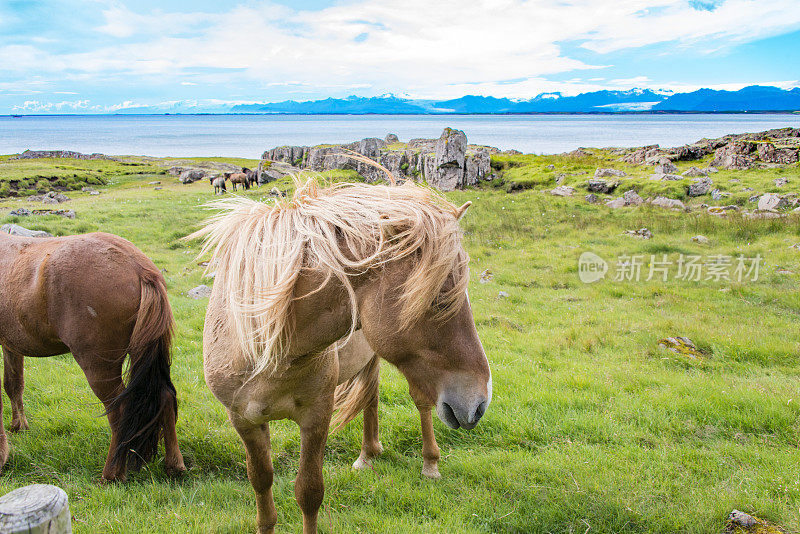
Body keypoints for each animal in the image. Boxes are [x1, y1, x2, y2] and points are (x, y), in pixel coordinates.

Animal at [0, 232, 186, 484]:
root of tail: (138, 267)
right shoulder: (11, 345)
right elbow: (13, 385)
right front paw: (18, 426)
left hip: (98, 367)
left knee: (120, 409)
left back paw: (112, 474)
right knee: (165, 397)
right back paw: (174, 465)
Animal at [191, 180, 490, 534]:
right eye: (438, 299)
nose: (480, 403)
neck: (267, 351)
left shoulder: (317, 415)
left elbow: (309, 492)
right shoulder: (243, 420)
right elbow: (261, 482)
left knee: (421, 404)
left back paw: (429, 464)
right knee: (371, 397)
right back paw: (368, 454)